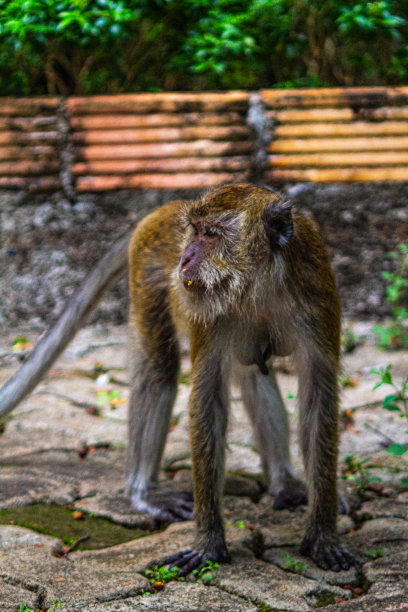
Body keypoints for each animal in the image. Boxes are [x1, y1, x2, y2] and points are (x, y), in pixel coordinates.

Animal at [0, 184, 354, 576]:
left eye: (211, 234)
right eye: (195, 231)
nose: (184, 259)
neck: (259, 288)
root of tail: (166, 209)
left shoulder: (316, 296)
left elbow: (317, 397)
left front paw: (322, 533)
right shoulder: (210, 315)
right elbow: (207, 400)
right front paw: (208, 543)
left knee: (251, 374)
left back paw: (286, 483)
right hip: (146, 271)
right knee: (159, 367)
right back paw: (143, 492)